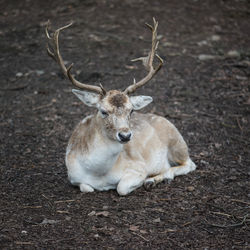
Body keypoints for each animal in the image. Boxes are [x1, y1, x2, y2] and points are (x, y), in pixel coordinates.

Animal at [46, 18, 196, 196]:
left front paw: (145, 180)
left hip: (177, 144)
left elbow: (121, 187)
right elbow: (86, 188)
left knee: (189, 164)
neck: (99, 173)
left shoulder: (138, 166)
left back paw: (155, 180)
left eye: (131, 111)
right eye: (103, 111)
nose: (125, 136)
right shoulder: (73, 177)